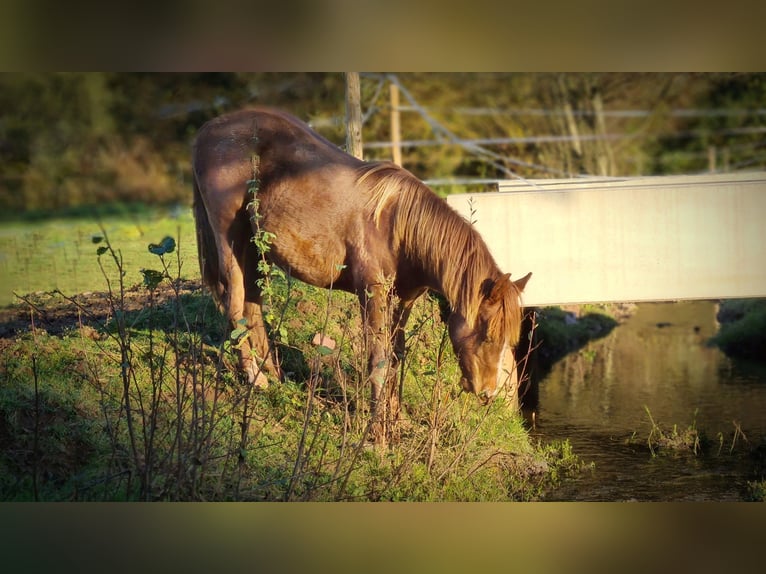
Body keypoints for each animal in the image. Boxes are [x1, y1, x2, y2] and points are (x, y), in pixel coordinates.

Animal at [191, 106, 531, 443]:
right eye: (489, 335)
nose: (487, 393)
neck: (397, 227)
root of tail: (208, 129)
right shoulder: (373, 293)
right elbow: (378, 360)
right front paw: (377, 432)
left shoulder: (403, 301)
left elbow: (395, 358)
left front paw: (398, 421)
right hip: (230, 239)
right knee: (235, 305)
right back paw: (256, 378)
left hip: (255, 247)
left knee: (253, 308)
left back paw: (273, 375)